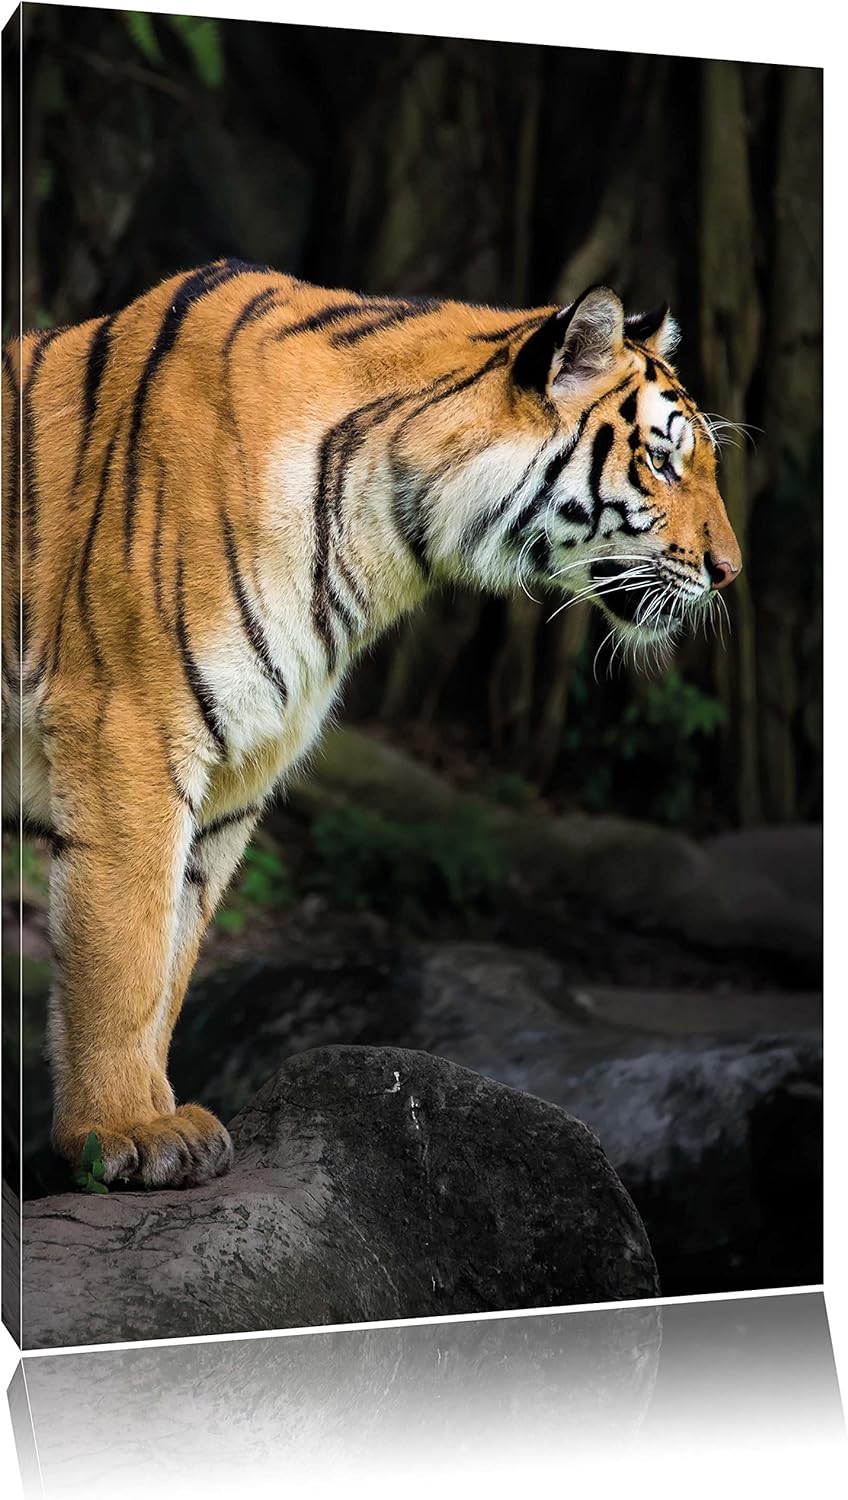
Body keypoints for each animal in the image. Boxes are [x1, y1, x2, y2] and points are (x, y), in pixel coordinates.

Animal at [1, 259, 741, 1190]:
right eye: (661, 461)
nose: (730, 571)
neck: (388, 537)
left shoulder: (239, 769)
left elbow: (174, 953)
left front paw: (159, 1114)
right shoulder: (126, 728)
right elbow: (124, 948)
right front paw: (129, 1131)